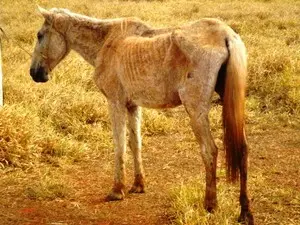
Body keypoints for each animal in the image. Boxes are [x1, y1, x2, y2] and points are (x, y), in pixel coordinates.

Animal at [29, 6, 253, 224]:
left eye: (40, 35)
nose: (34, 73)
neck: (106, 41)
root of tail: (226, 35)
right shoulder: (133, 106)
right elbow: (135, 144)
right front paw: (138, 185)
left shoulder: (116, 103)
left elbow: (119, 146)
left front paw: (117, 190)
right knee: (242, 149)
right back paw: (244, 211)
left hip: (196, 112)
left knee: (209, 151)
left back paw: (210, 204)